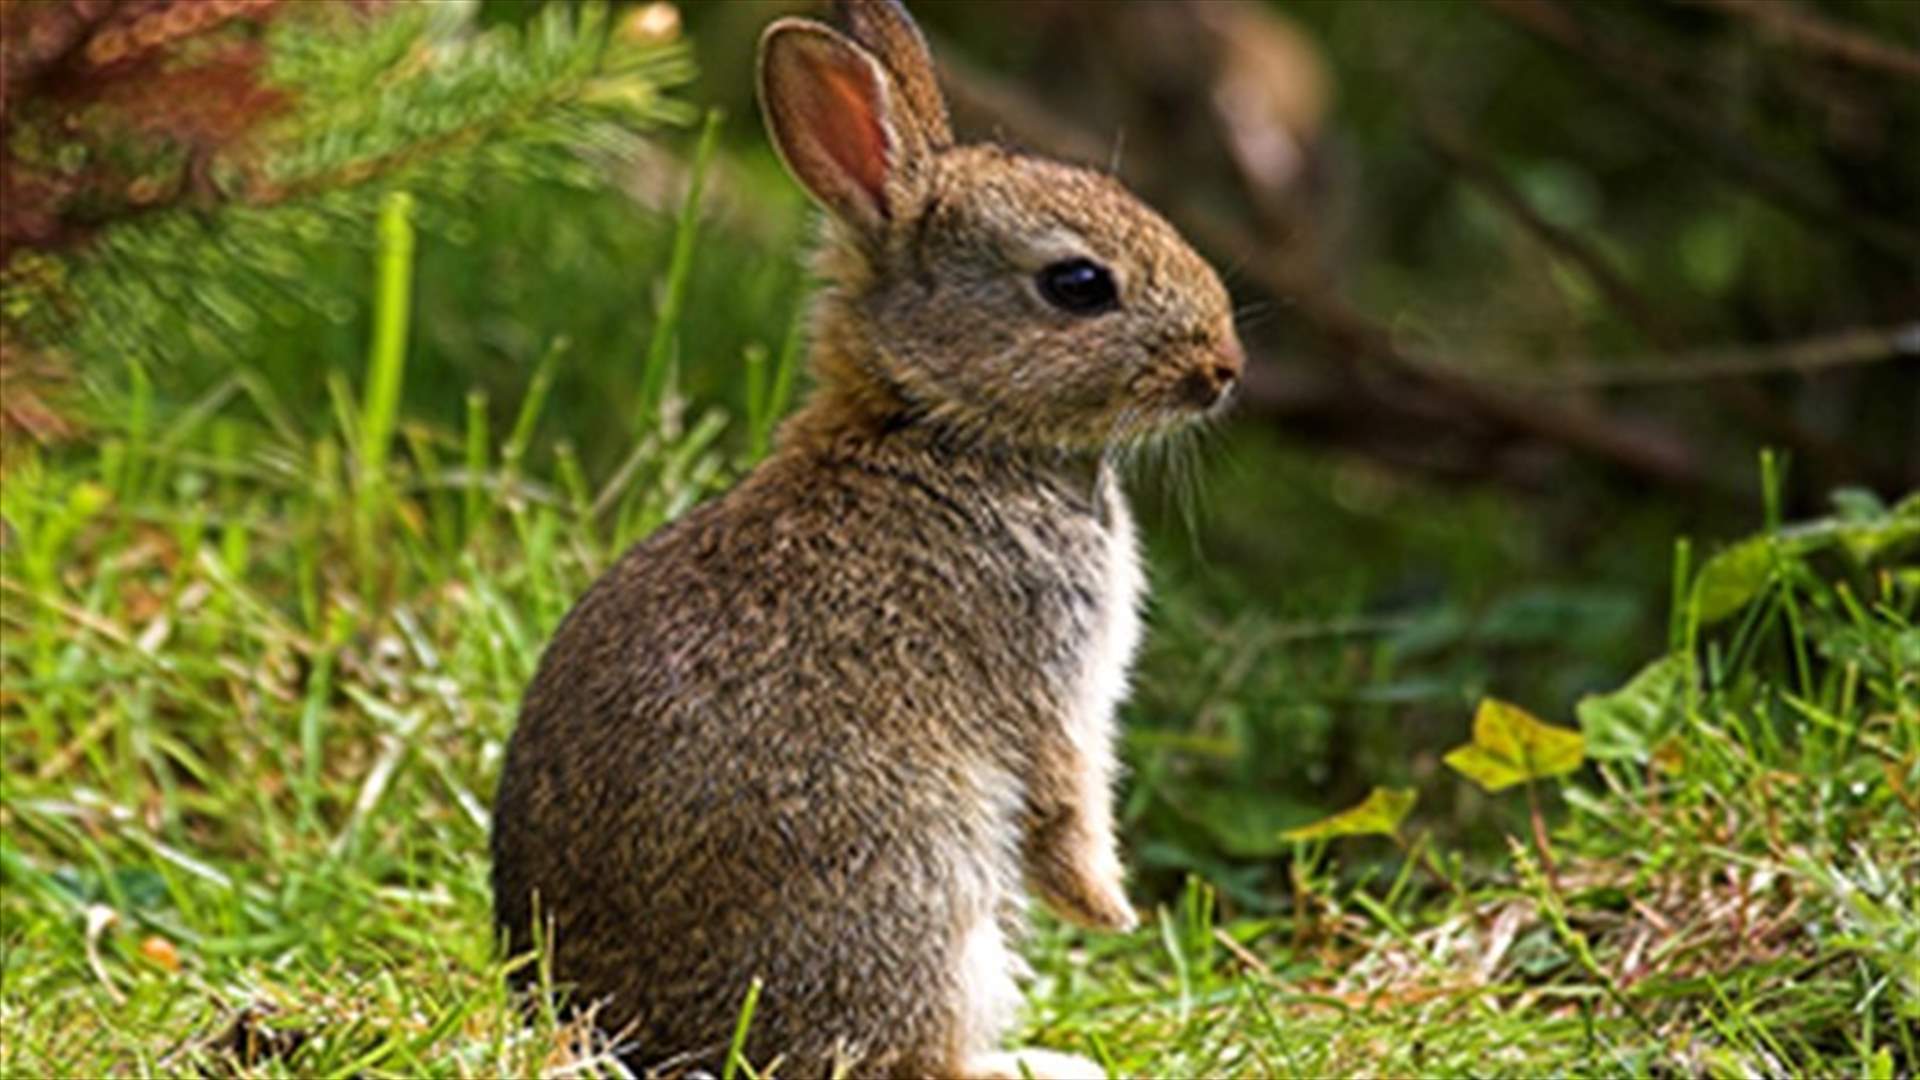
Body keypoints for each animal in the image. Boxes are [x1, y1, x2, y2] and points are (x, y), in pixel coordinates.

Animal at [489, 1, 1243, 1076]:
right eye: (1078, 284)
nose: (1224, 367)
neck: (940, 424)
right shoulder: (1051, 681)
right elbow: (1071, 798)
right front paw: (1110, 911)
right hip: (919, 891)